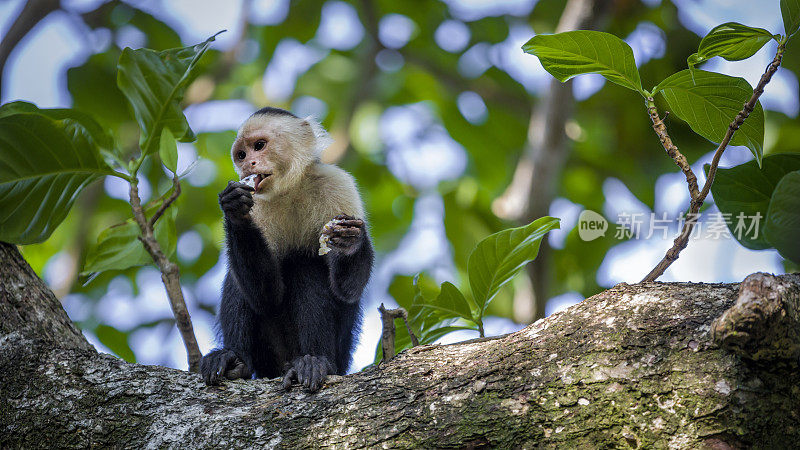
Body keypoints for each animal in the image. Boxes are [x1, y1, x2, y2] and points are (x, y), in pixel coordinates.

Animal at [200, 105, 376, 390]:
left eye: (259, 146)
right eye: (241, 155)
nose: (248, 164)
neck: (289, 188)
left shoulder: (338, 184)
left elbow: (347, 289)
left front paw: (350, 242)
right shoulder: (257, 203)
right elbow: (266, 295)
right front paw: (235, 211)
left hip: (340, 355)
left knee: (306, 267)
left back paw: (314, 362)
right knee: (239, 280)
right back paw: (233, 360)